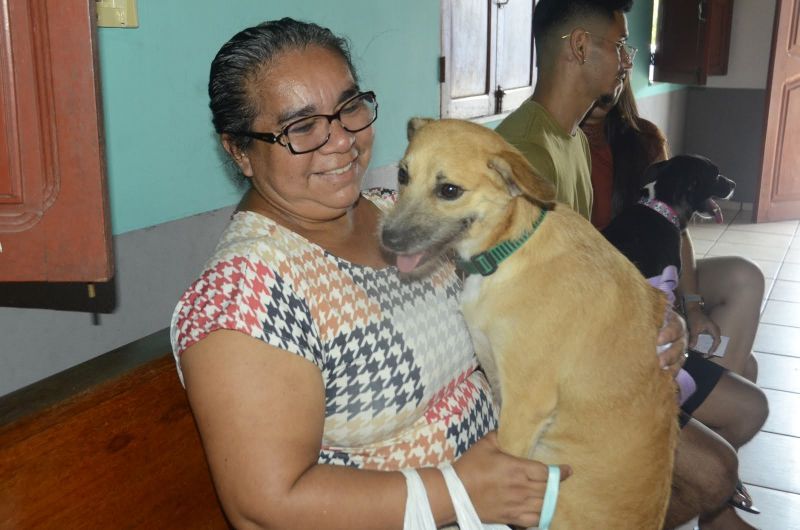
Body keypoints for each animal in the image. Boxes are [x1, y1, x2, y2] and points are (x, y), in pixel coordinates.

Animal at [382, 117, 676, 524]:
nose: (387, 239)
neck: (508, 250)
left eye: (449, 190)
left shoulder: (524, 405)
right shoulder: (496, 376)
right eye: (402, 174)